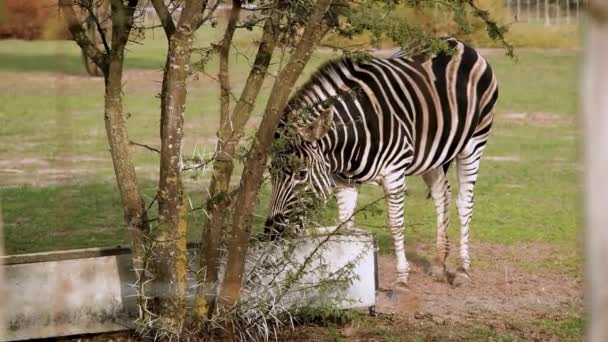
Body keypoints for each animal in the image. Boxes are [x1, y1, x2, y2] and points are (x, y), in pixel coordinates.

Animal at [264, 38, 498, 288]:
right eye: (271, 172)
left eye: (301, 174)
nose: (272, 233)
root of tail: (457, 42)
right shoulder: (344, 180)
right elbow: (343, 225)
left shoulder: (393, 173)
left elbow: (395, 223)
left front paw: (402, 278)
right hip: (433, 152)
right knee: (441, 194)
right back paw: (438, 264)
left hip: (474, 143)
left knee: (464, 202)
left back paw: (462, 270)